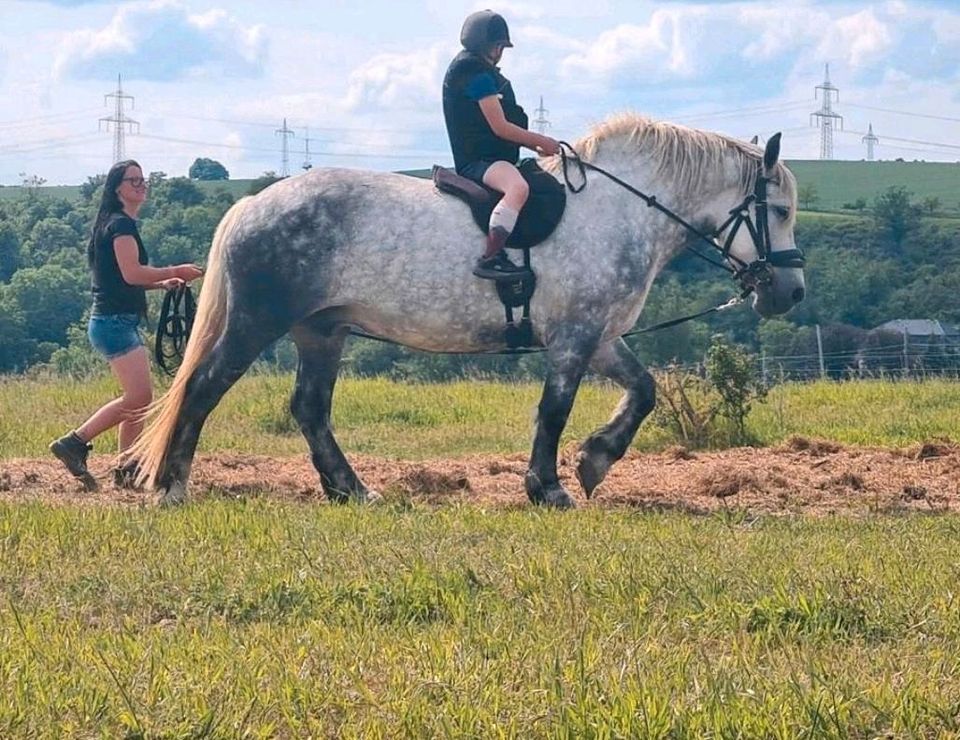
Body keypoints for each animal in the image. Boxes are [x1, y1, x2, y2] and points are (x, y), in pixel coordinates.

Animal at [127, 114, 804, 508]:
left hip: (321, 330)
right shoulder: (574, 336)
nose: (790, 293)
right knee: (205, 387)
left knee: (309, 409)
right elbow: (554, 410)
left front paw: (594, 461)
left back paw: (352, 490)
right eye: (779, 211)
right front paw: (549, 487)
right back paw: (172, 487)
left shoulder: (601, 334)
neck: (619, 210)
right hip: (259, 322)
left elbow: (642, 392)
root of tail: (251, 206)